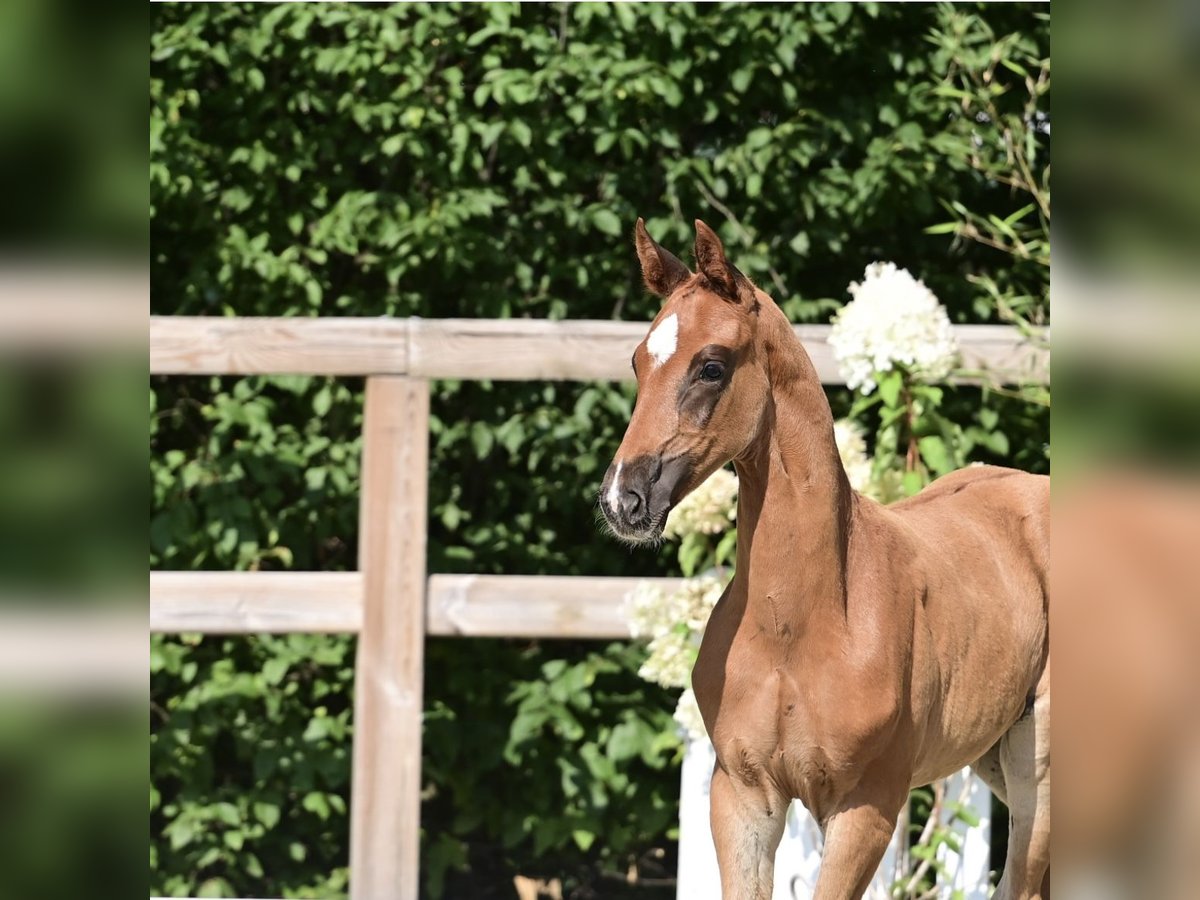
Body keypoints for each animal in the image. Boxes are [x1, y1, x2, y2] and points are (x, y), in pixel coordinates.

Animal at [599, 218, 1050, 900]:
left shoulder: (867, 807)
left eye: (712, 366)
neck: (802, 621)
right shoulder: (742, 796)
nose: (624, 499)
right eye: (637, 362)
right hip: (992, 754)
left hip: (1041, 772)